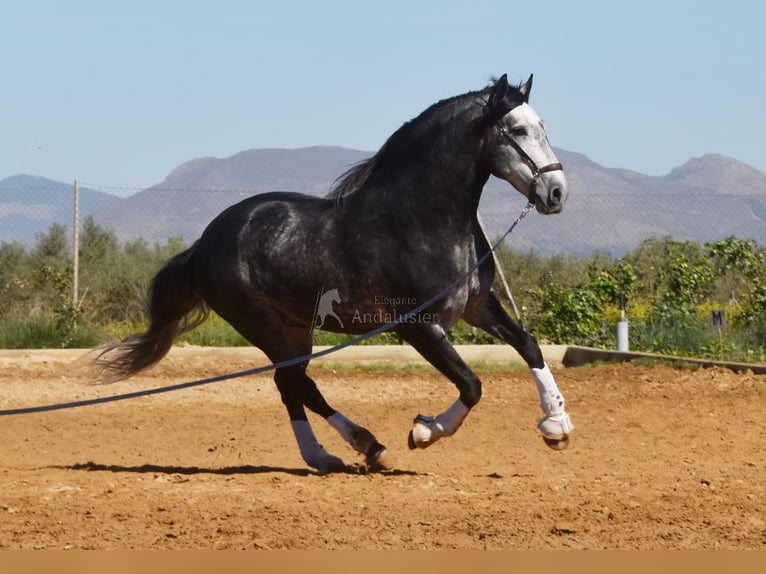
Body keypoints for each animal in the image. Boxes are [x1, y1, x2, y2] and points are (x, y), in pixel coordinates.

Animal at [93, 74, 576, 474]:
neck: (421, 221)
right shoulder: (417, 326)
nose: (556, 193)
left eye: (542, 125)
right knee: (298, 383)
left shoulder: (477, 306)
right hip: (266, 328)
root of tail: (204, 245)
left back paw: (331, 455)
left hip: (294, 329)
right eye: (517, 131)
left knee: (289, 385)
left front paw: (557, 425)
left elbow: (528, 345)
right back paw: (364, 447)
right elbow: (471, 385)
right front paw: (422, 432)